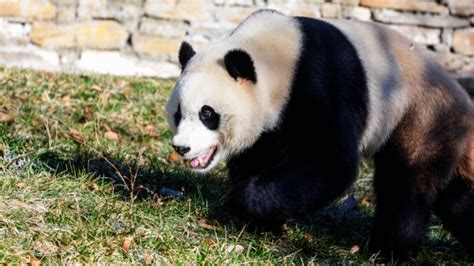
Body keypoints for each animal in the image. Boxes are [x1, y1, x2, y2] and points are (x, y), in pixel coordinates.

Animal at [164, 9, 474, 258]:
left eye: (207, 114)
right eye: (178, 113)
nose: (181, 147)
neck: (277, 57)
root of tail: (466, 107)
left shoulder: (321, 82)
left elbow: (332, 163)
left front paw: (244, 203)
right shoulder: (271, 124)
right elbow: (260, 156)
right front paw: (263, 222)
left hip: (422, 118)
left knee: (405, 183)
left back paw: (387, 249)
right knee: (456, 198)